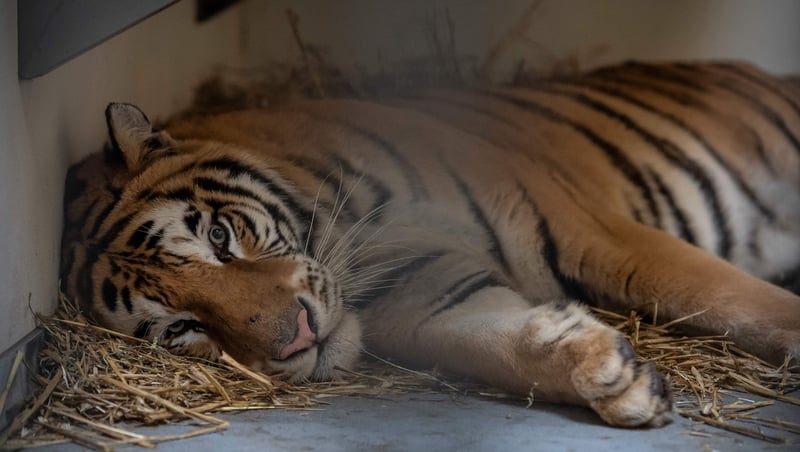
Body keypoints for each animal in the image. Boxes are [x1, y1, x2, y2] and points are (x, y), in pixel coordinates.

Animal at [60, 61, 800, 428]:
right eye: (183, 328)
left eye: (218, 236)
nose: (298, 337)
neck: (359, 243)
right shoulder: (428, 296)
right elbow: (501, 341)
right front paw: (615, 378)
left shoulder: (592, 232)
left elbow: (730, 298)